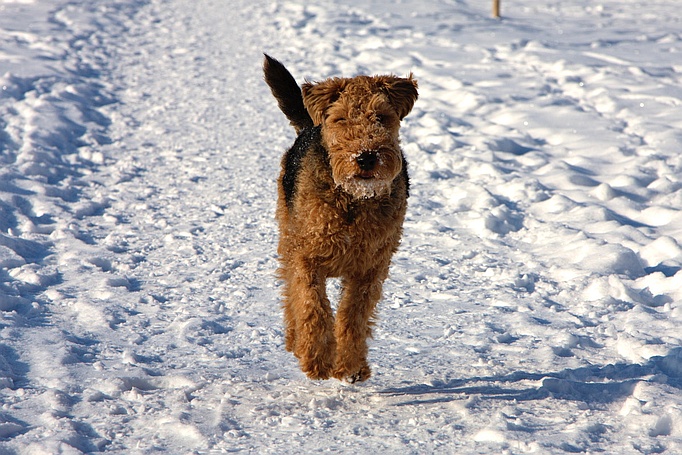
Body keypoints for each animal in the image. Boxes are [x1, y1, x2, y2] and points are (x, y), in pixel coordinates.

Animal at [262, 54, 418, 384]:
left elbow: (352, 316)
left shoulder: (370, 269)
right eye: (342, 119)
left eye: (382, 116)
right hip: (288, 234)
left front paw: (350, 365)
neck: (353, 201)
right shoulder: (307, 257)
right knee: (289, 291)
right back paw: (295, 341)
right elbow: (313, 305)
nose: (366, 156)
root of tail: (310, 126)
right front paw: (317, 359)